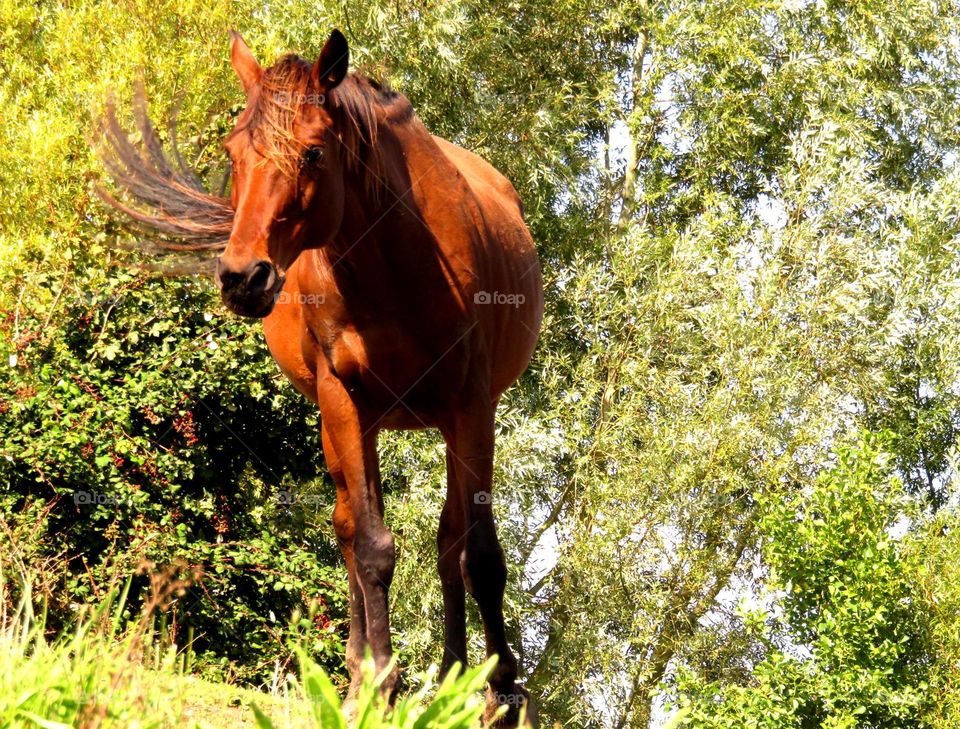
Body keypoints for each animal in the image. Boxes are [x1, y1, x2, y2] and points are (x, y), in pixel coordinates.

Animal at [103, 27, 548, 724]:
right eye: (233, 150)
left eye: (313, 151)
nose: (243, 276)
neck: (396, 267)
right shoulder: (346, 401)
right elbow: (371, 545)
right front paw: (380, 685)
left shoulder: (471, 404)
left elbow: (479, 553)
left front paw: (502, 695)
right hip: (343, 423)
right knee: (348, 530)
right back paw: (363, 671)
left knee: (450, 544)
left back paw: (454, 677)